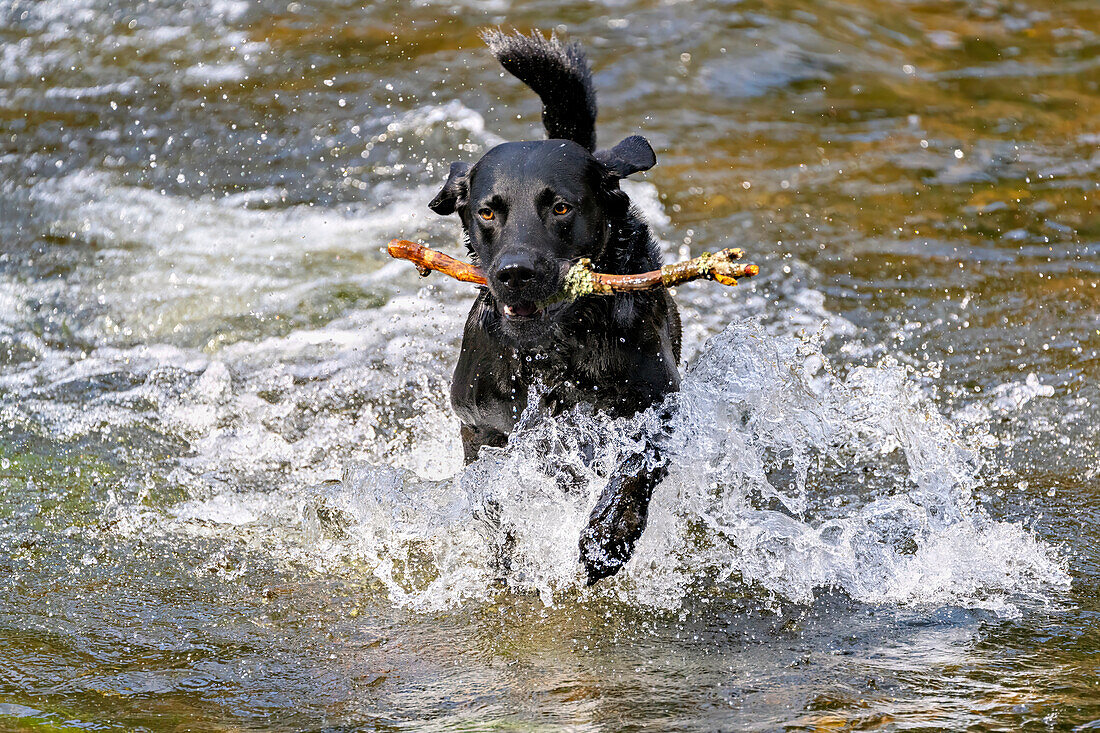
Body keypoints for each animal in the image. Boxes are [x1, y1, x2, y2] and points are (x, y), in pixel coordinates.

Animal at [426, 31, 677, 581]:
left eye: (561, 207)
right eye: (487, 212)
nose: (515, 273)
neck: (554, 354)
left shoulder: (661, 410)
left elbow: (636, 468)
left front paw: (608, 536)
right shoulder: (479, 426)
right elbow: (492, 499)